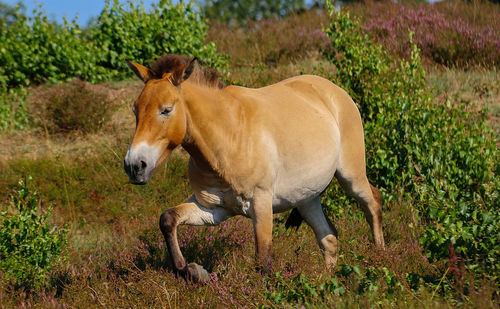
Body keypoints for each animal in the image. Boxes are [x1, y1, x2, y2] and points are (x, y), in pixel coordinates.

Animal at [123, 55, 384, 282]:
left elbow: (263, 260)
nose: (134, 166)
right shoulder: (213, 208)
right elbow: (168, 220)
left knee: (372, 203)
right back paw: (329, 282)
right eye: (135, 109)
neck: (229, 137)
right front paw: (194, 271)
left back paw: (380, 258)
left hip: (351, 176)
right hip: (306, 198)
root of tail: (335, 92)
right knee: (328, 238)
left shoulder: (261, 204)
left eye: (166, 110)